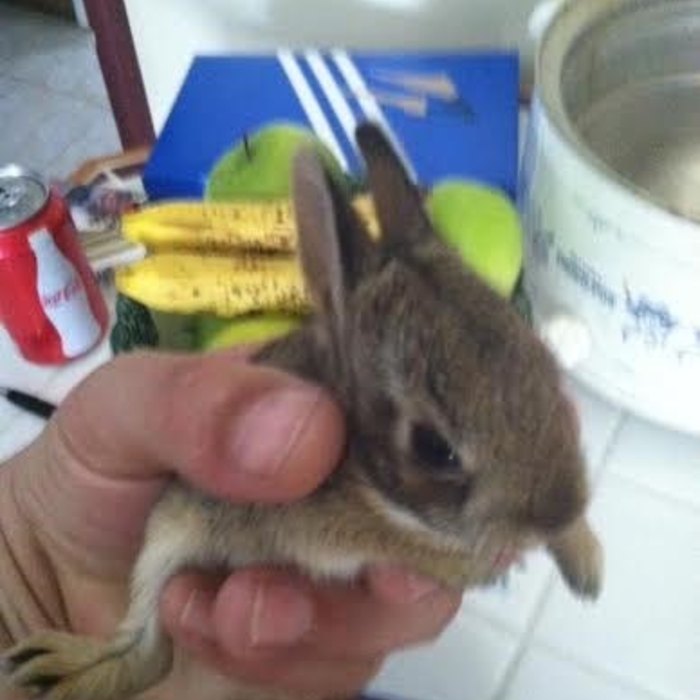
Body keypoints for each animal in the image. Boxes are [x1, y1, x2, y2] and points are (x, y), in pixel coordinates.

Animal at [1, 122, 602, 700]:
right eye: (435, 449)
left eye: (543, 363)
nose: (556, 511)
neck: (366, 478)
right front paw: (489, 564)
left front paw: (585, 564)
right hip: (172, 531)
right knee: (144, 649)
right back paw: (58, 669)